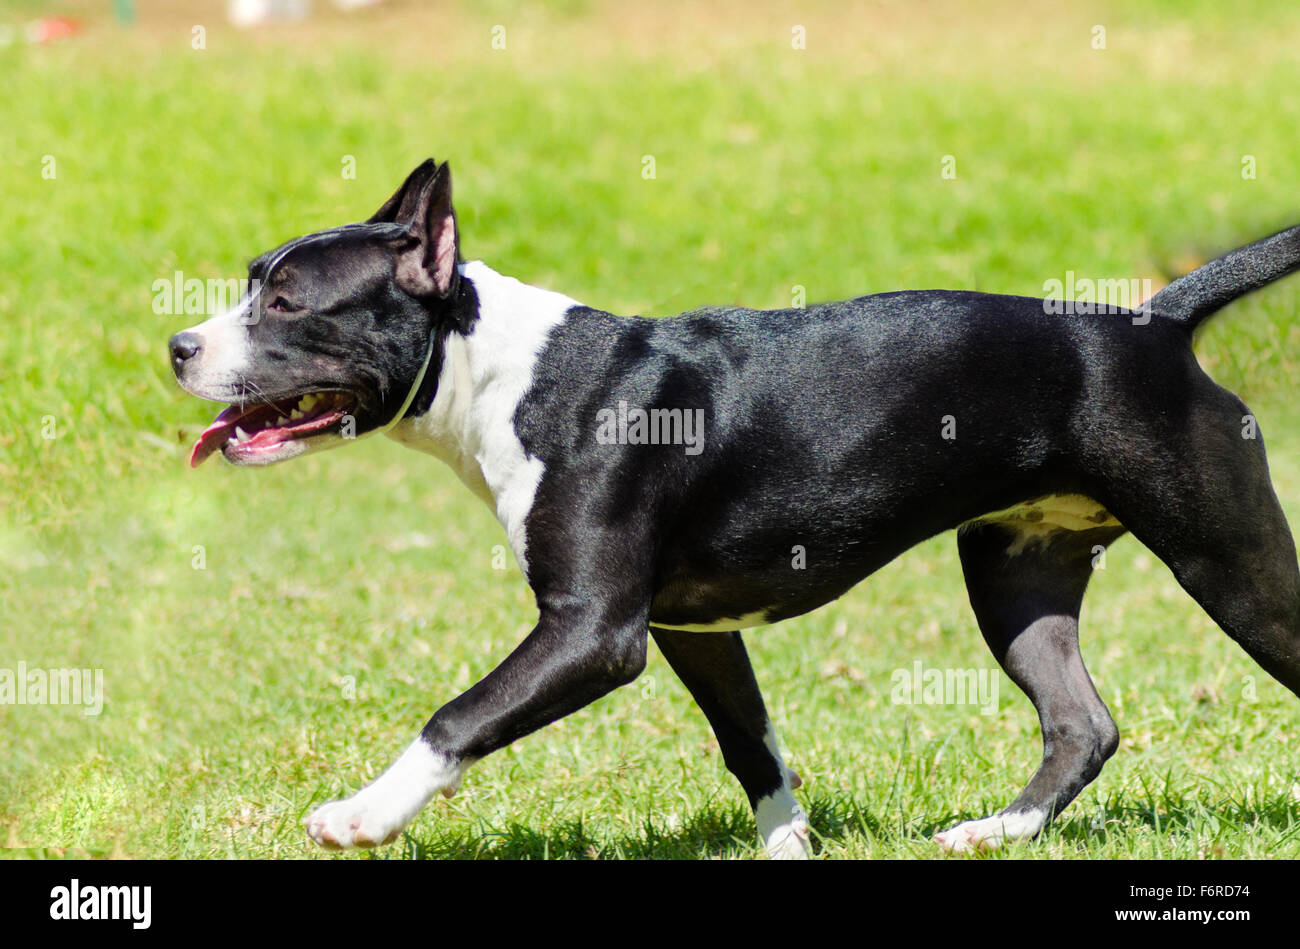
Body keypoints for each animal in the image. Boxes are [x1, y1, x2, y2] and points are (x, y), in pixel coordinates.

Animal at [167, 162, 1300, 857]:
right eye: (252, 286)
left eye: (287, 303)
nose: (178, 345)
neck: (505, 373)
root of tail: (1153, 321)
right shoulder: (692, 629)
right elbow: (748, 738)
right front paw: (790, 844)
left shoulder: (593, 632)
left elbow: (458, 715)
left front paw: (362, 815)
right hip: (1016, 573)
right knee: (1081, 723)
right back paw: (995, 832)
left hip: (1229, 562)